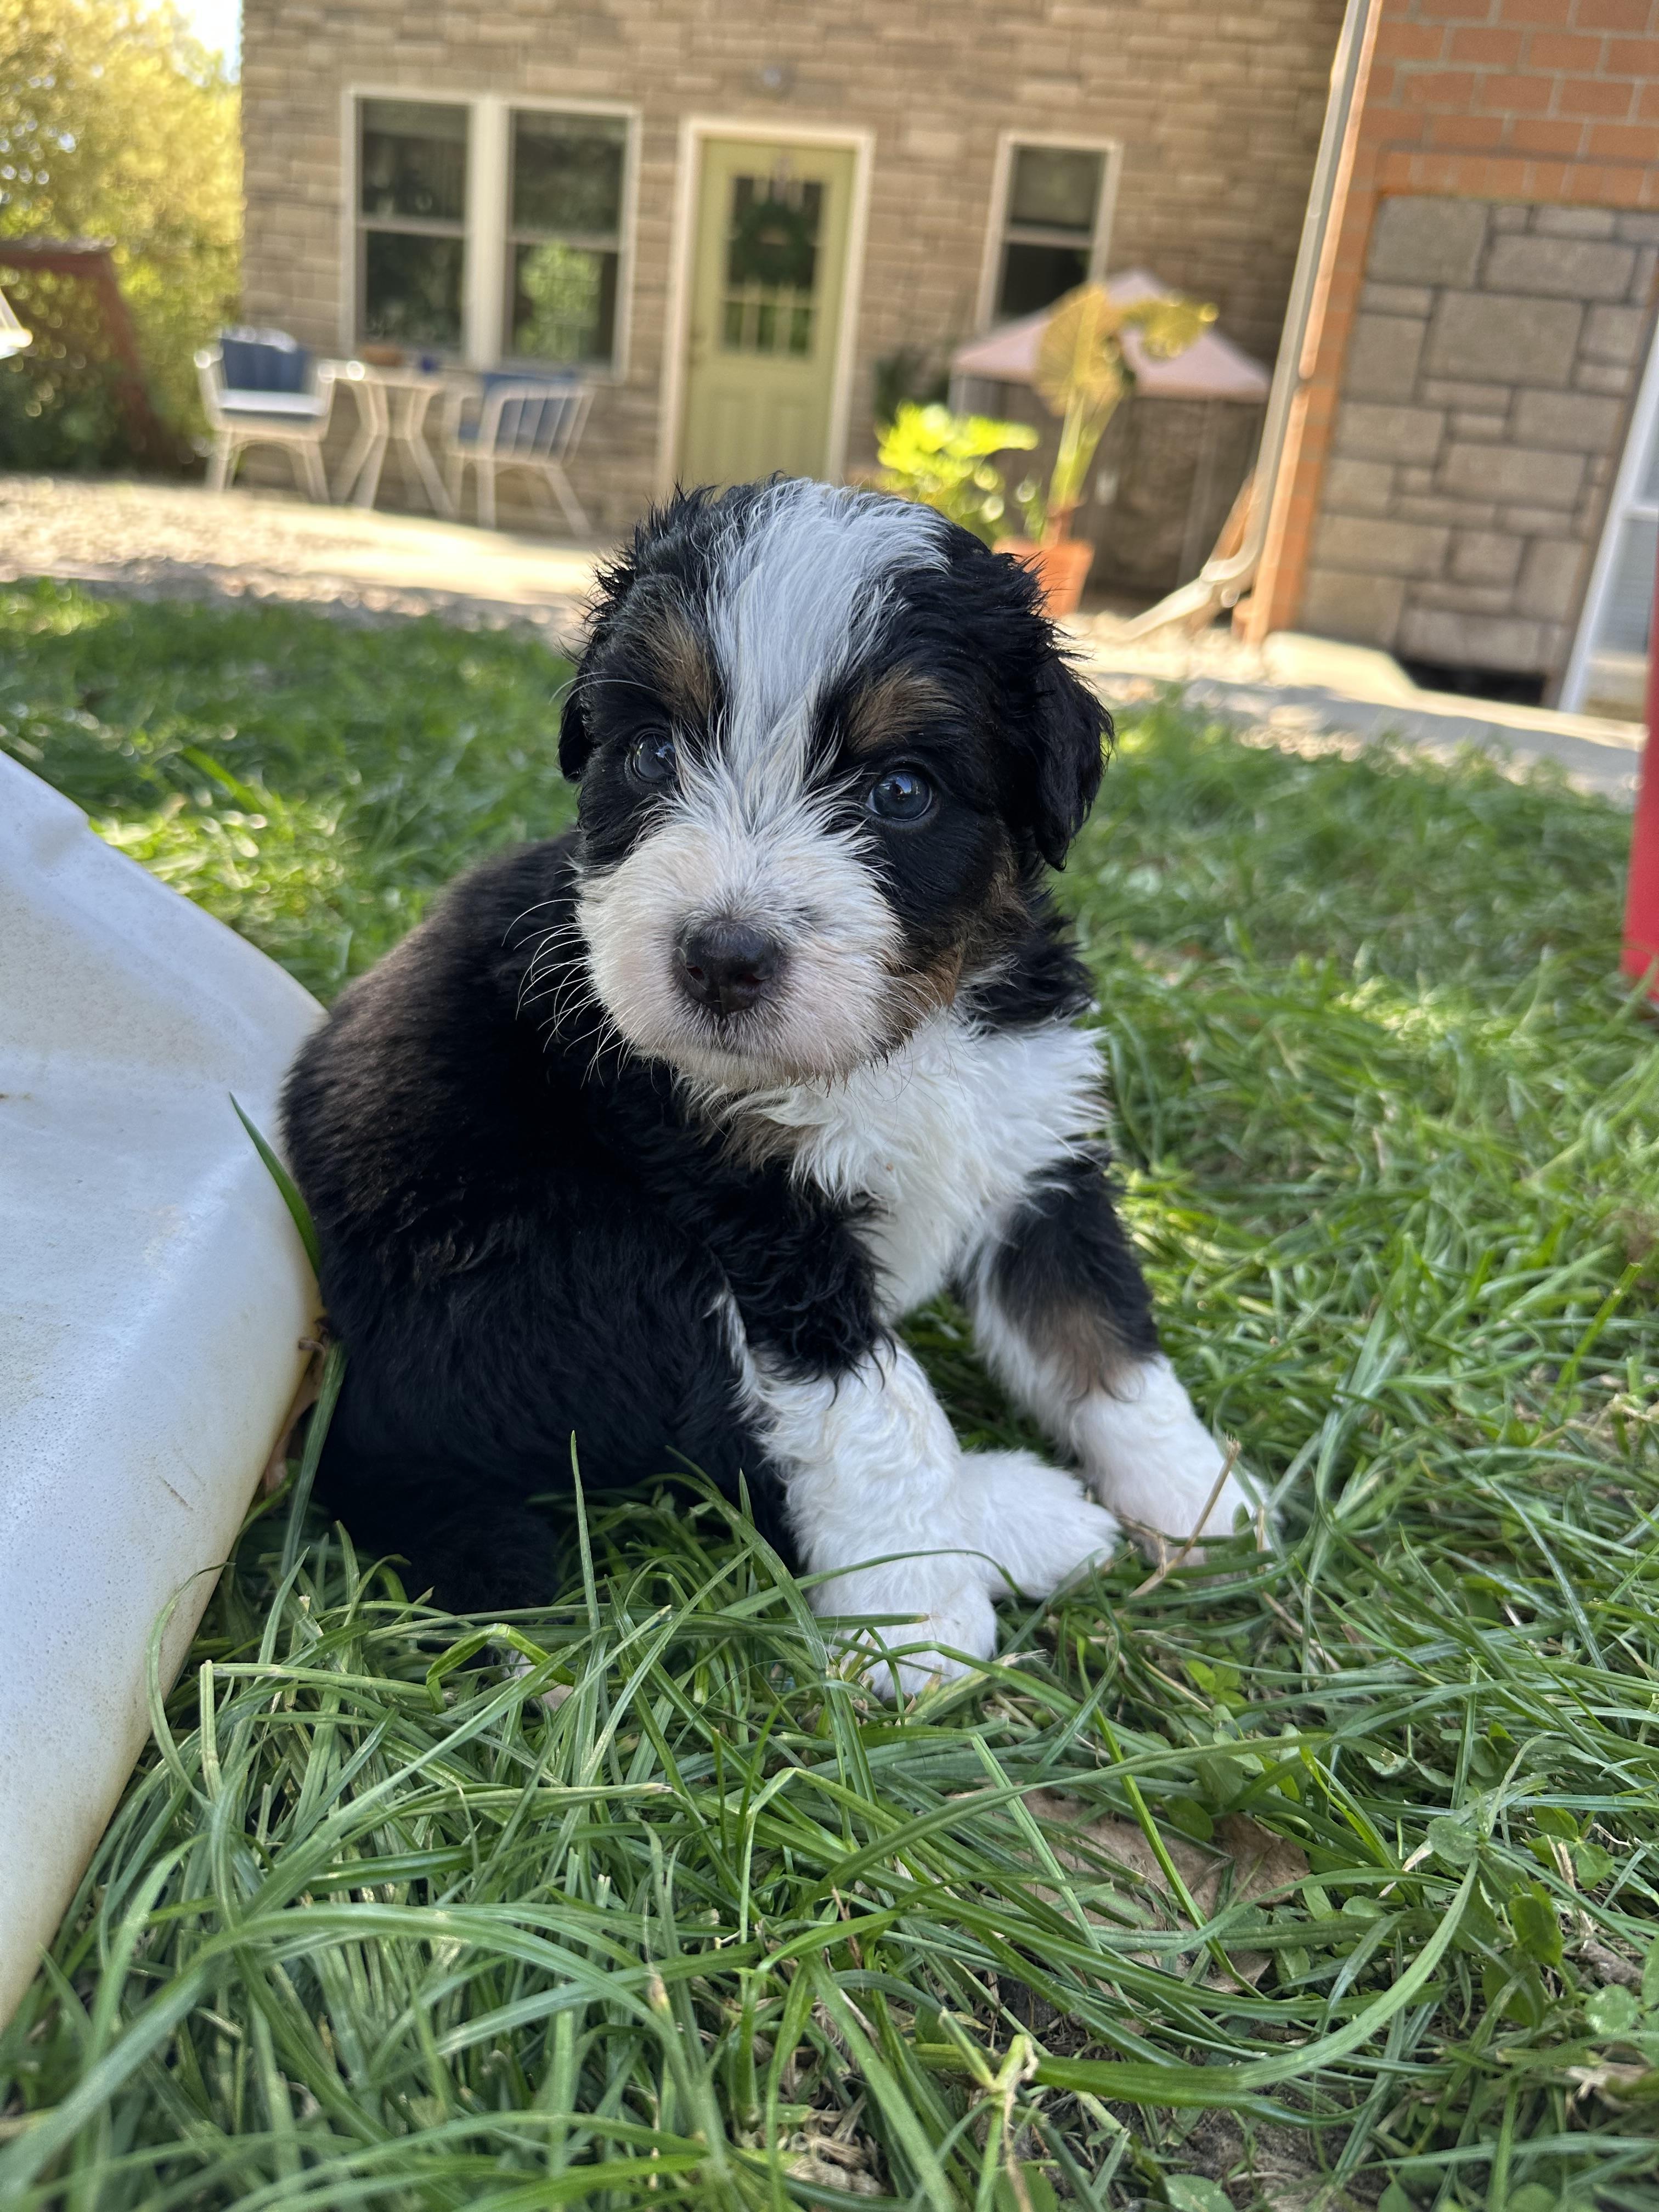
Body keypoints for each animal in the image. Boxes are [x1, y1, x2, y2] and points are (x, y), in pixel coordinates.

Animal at [281, 478, 1252, 1696]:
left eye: (900, 790)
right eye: (652, 753)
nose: (720, 959)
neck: (900, 1043)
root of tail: (355, 1422)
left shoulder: (1032, 1143)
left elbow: (1105, 1335)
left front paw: (1195, 1495)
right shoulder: (759, 1219)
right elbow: (878, 1412)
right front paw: (914, 1619)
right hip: (586, 1270)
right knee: (722, 1452)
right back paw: (1023, 1518)